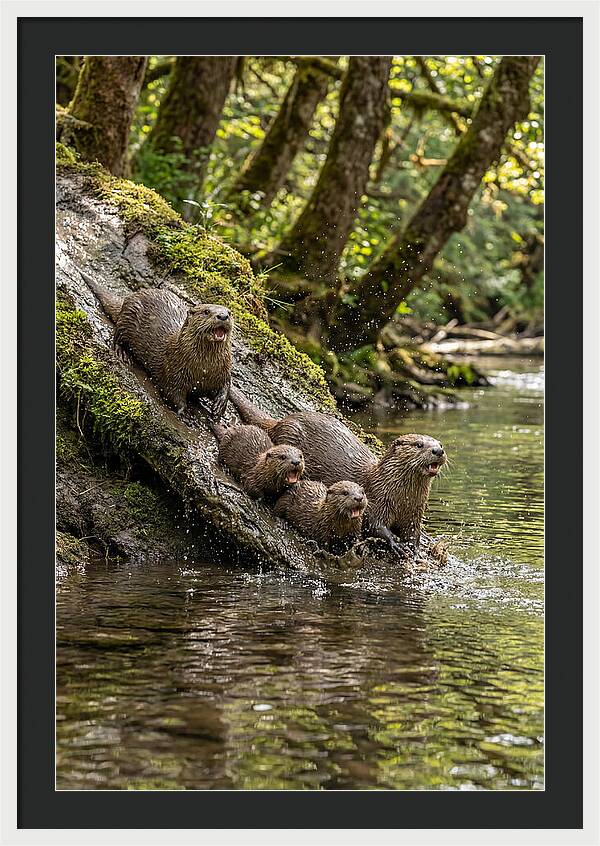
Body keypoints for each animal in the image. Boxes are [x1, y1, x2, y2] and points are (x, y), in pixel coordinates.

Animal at [80, 270, 233, 420]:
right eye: (206, 311)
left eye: (229, 312)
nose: (223, 316)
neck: (203, 370)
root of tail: (131, 296)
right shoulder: (173, 371)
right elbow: (172, 393)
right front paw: (184, 412)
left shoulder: (223, 370)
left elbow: (226, 385)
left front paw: (219, 406)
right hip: (128, 317)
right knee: (117, 335)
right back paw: (122, 353)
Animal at [229, 387, 446, 549]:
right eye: (419, 444)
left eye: (440, 444)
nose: (438, 450)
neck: (402, 498)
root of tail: (282, 422)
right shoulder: (377, 501)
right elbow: (375, 525)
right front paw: (395, 543)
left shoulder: (414, 513)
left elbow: (413, 532)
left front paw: (414, 547)